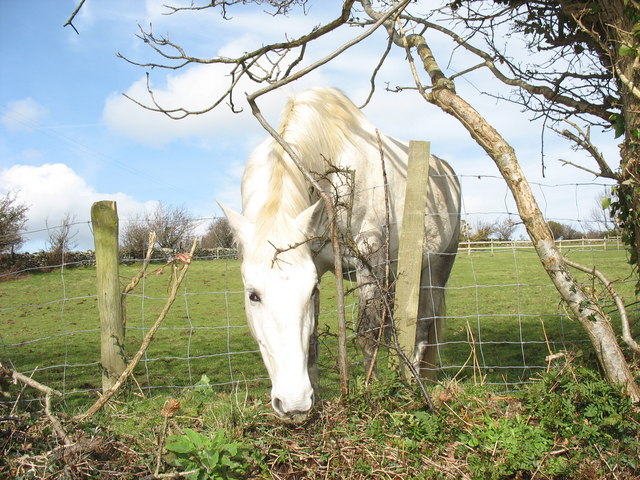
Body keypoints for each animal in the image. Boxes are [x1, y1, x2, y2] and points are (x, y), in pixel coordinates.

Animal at [220, 88, 460, 422]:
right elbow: (313, 342)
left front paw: (370, 391)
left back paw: (413, 383)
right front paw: (314, 402)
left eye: (309, 291)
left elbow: (367, 334)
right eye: (252, 295)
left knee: (424, 324)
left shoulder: (369, 259)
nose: (293, 402)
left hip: (437, 267)